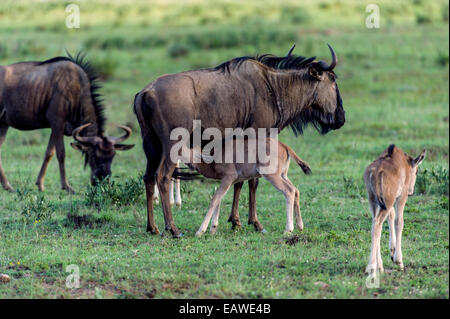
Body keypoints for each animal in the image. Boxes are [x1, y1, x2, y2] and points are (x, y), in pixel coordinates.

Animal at [364, 144, 428, 274]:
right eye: (417, 172)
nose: (411, 191)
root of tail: (375, 172)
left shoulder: (387, 202)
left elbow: (391, 216)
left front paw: (392, 251)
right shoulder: (401, 197)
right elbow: (399, 222)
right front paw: (399, 260)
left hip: (373, 201)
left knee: (375, 224)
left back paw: (379, 266)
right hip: (387, 201)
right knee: (378, 224)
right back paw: (372, 266)